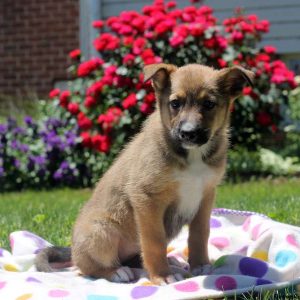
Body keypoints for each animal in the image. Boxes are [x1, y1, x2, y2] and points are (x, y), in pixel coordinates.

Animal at [36, 62, 254, 284]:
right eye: (175, 103)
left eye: (209, 104)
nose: (188, 133)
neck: (191, 156)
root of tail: (72, 248)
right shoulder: (147, 199)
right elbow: (154, 242)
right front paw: (162, 276)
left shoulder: (205, 196)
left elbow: (200, 234)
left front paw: (200, 265)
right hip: (101, 230)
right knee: (85, 267)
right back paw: (114, 271)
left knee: (133, 258)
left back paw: (168, 261)